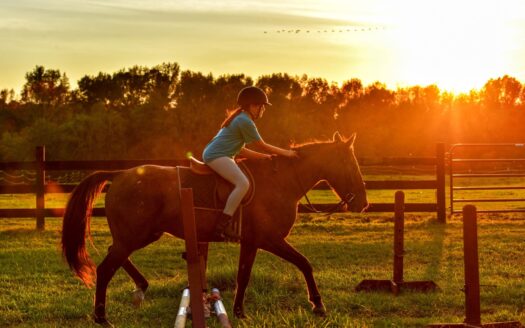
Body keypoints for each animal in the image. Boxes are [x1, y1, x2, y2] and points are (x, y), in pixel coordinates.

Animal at [60, 131, 364, 326]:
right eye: (350, 163)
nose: (363, 202)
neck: (282, 181)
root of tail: (121, 174)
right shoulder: (271, 239)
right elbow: (305, 264)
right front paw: (318, 305)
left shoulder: (252, 242)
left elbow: (244, 276)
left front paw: (239, 312)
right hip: (135, 235)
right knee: (105, 268)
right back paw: (102, 317)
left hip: (140, 235)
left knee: (116, 256)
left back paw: (140, 288)